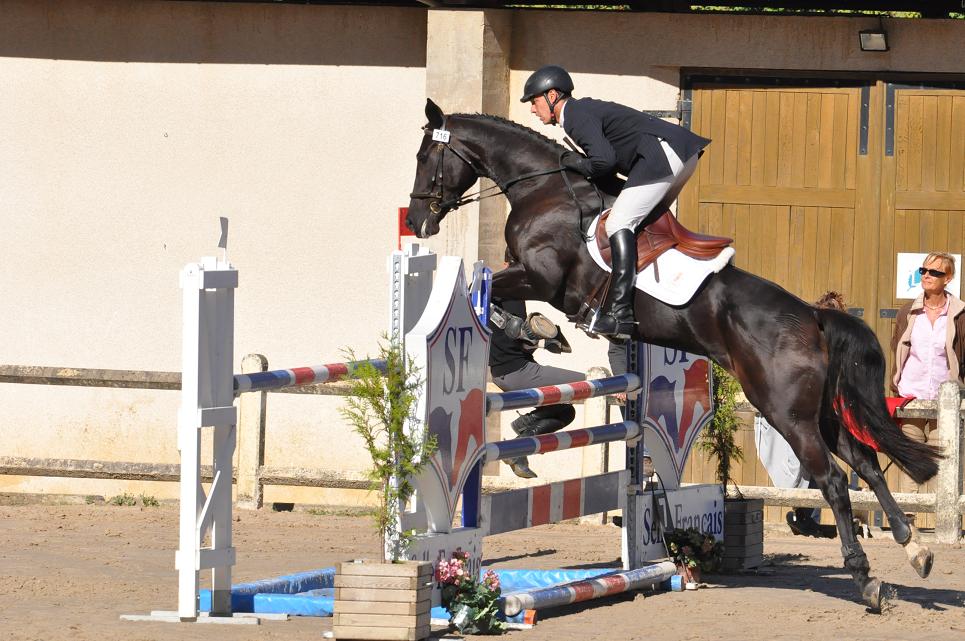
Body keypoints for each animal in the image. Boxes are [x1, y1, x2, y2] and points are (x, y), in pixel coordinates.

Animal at [404, 97, 940, 608]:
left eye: (425, 156)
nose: (416, 221)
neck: (545, 189)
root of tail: (813, 317)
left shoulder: (540, 277)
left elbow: (491, 287)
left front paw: (533, 328)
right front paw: (540, 337)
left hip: (785, 411)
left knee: (831, 478)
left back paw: (867, 580)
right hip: (820, 411)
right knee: (865, 461)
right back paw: (915, 548)